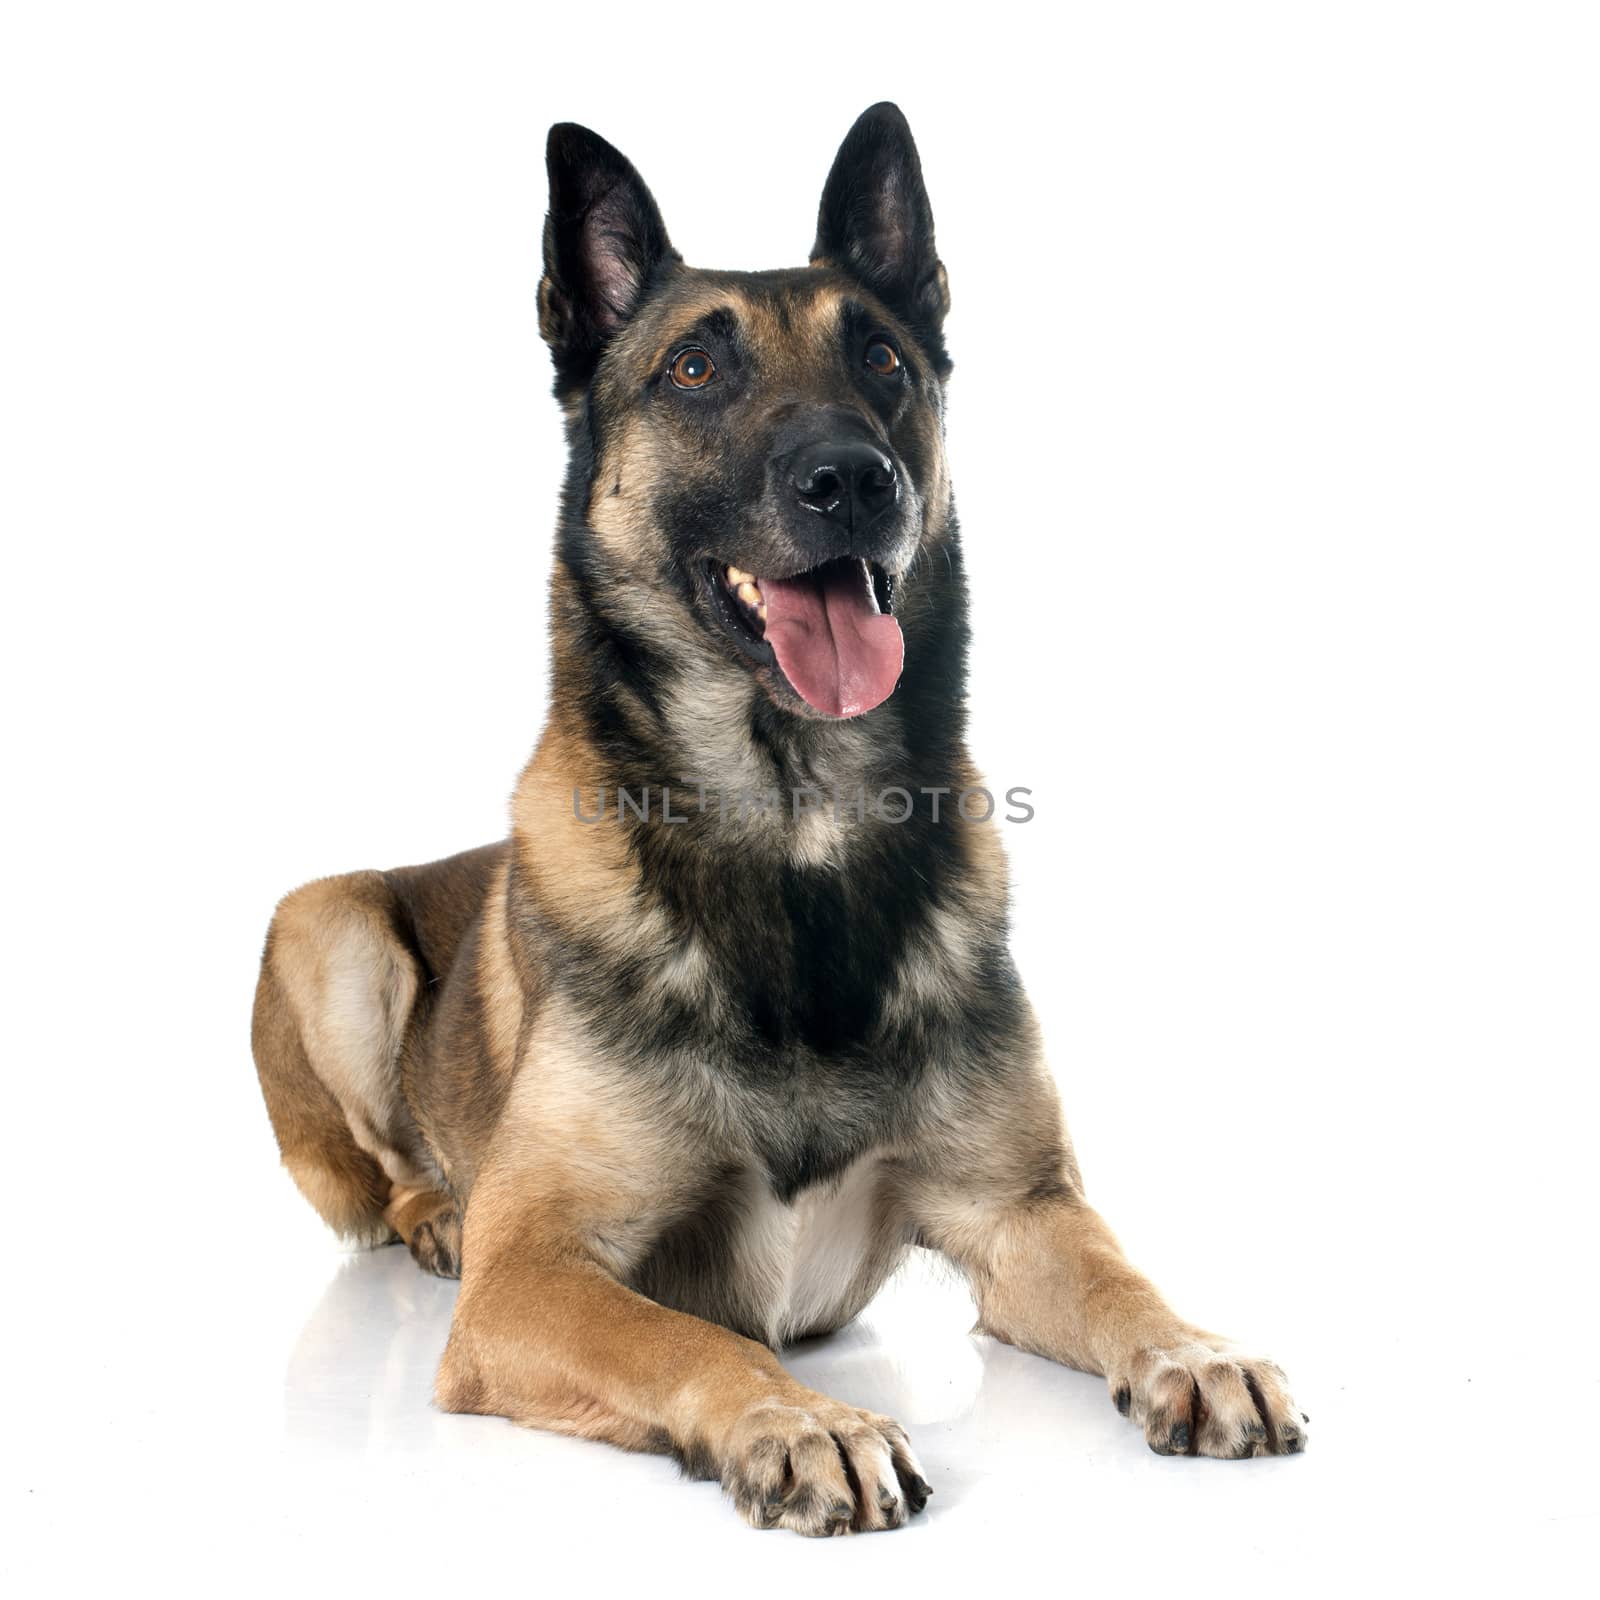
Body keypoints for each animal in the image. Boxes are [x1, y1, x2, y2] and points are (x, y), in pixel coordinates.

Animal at [246, 103, 1299, 1536]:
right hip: (326, 920)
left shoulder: (1021, 1213)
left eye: (882, 360)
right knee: (392, 1165)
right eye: (693, 368)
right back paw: (436, 1215)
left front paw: (1195, 1346)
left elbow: (1118, 1273)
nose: (850, 479)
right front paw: (804, 1421)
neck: (795, 829)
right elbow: (687, 1335)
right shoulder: (536, 1277)